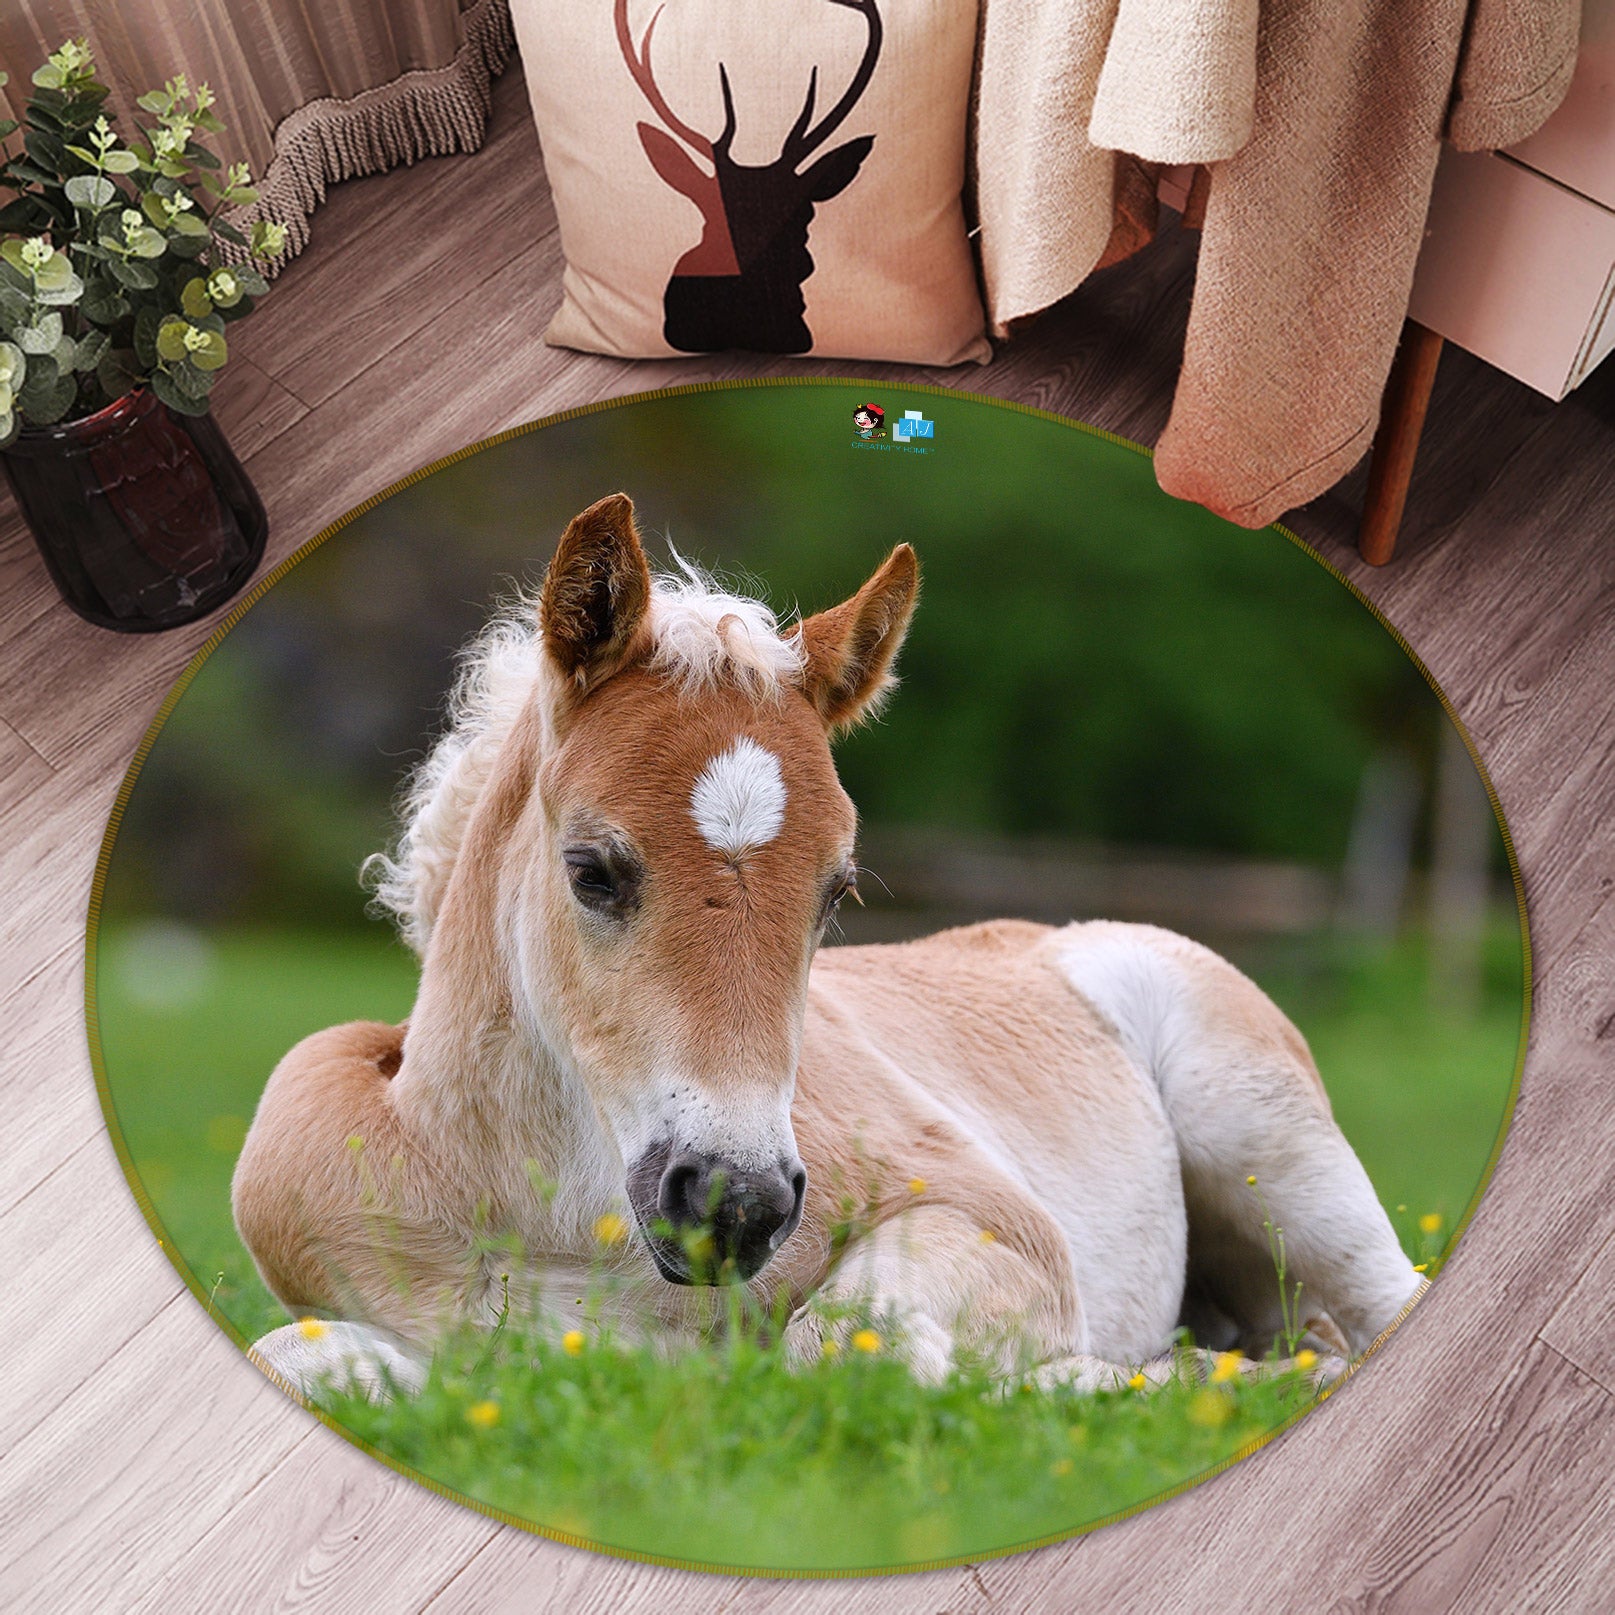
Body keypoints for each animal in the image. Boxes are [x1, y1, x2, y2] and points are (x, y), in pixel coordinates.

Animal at [234, 492, 1425, 1398]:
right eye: (591, 869)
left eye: (835, 892)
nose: (734, 1205)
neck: (555, 1214)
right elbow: (295, 1355)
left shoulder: (996, 1217)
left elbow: (850, 1348)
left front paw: (1093, 1380)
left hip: (1271, 1146)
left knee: (1384, 1304)